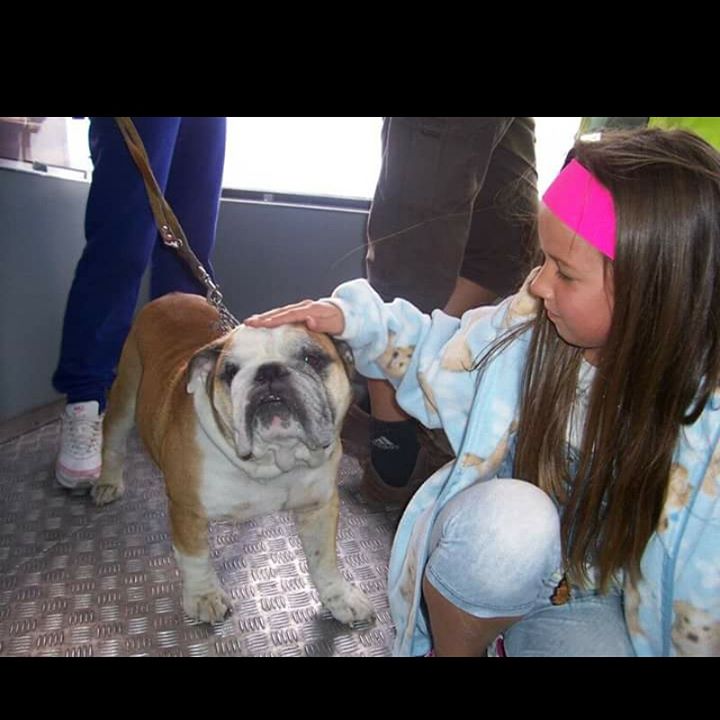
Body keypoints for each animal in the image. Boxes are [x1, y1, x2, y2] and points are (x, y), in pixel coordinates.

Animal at [92, 292, 375, 627]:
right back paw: (107, 483)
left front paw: (340, 598)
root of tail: (170, 296)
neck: (272, 462)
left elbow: (324, 559)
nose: (269, 371)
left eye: (311, 359)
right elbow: (195, 557)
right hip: (126, 392)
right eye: (229, 372)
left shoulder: (319, 506)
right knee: (113, 439)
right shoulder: (187, 510)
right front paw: (203, 597)